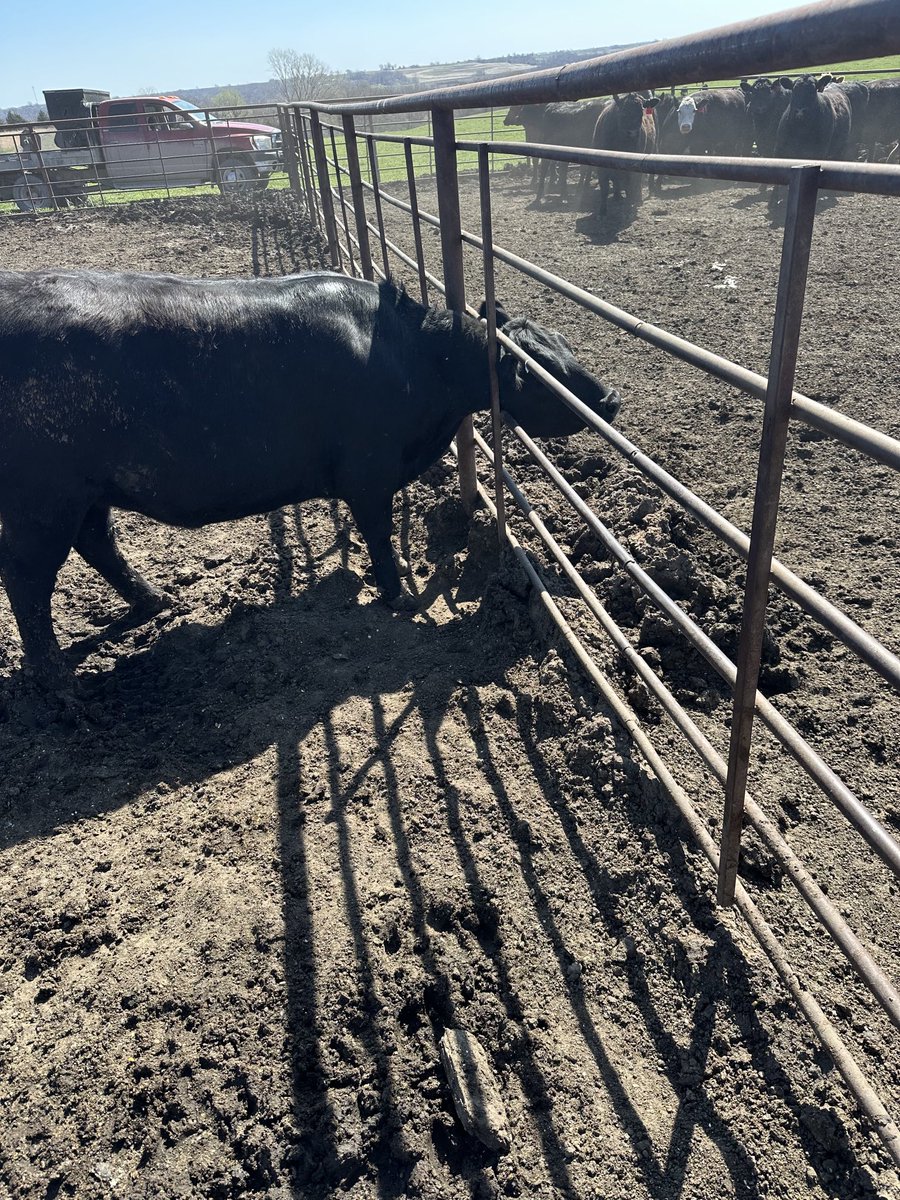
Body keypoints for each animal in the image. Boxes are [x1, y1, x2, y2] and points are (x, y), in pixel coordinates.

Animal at [0, 270, 622, 693]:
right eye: (539, 372)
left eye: (567, 345)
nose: (612, 398)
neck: (417, 363)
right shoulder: (368, 472)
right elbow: (377, 535)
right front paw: (397, 595)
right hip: (42, 500)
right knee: (27, 579)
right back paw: (61, 684)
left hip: (86, 492)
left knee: (97, 543)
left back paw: (157, 601)